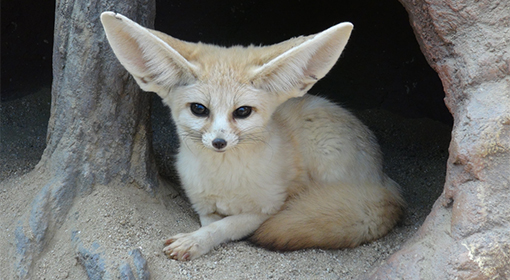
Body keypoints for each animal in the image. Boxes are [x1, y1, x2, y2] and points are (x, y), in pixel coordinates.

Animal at [100, 10, 402, 260]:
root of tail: (386, 182)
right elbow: (213, 221)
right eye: (199, 109)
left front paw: (196, 241)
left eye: (242, 111)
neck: (224, 179)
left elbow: (227, 226)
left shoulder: (268, 208)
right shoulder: (203, 206)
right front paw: (200, 236)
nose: (219, 142)